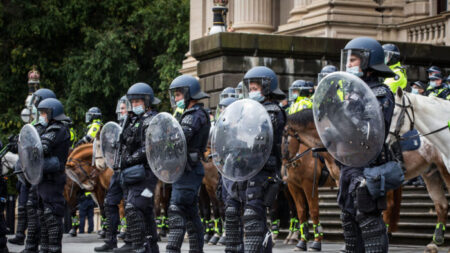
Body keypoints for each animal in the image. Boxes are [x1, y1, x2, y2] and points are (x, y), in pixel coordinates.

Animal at [288, 108, 450, 251]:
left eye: (285, 137)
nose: (287, 164)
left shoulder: (311, 183)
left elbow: (314, 210)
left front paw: (315, 243)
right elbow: (304, 211)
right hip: (431, 173)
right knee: (441, 205)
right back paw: (435, 240)